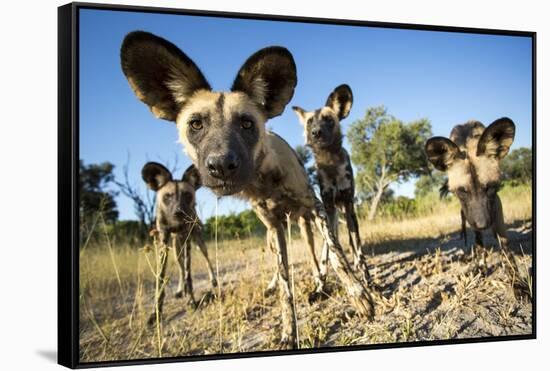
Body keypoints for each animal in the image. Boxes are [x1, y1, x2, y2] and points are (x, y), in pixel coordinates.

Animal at [142, 163, 218, 326]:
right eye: (168, 196)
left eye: (187, 195)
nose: (179, 212)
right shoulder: (163, 240)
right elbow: (161, 279)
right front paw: (155, 313)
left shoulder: (188, 237)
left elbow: (189, 276)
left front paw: (192, 301)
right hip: (176, 248)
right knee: (180, 267)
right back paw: (179, 290)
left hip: (198, 243)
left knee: (206, 260)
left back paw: (213, 280)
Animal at [292, 85, 374, 284]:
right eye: (309, 122)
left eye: (328, 120)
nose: (316, 132)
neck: (330, 162)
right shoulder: (328, 209)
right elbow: (328, 249)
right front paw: (322, 279)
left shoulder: (348, 206)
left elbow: (358, 248)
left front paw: (366, 277)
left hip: (346, 212)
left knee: (352, 244)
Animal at [426, 119, 520, 276]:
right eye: (462, 192)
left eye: (490, 187)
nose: (483, 224)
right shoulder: (470, 216)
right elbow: (479, 242)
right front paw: (481, 265)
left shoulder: (496, 204)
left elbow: (504, 241)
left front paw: (515, 277)